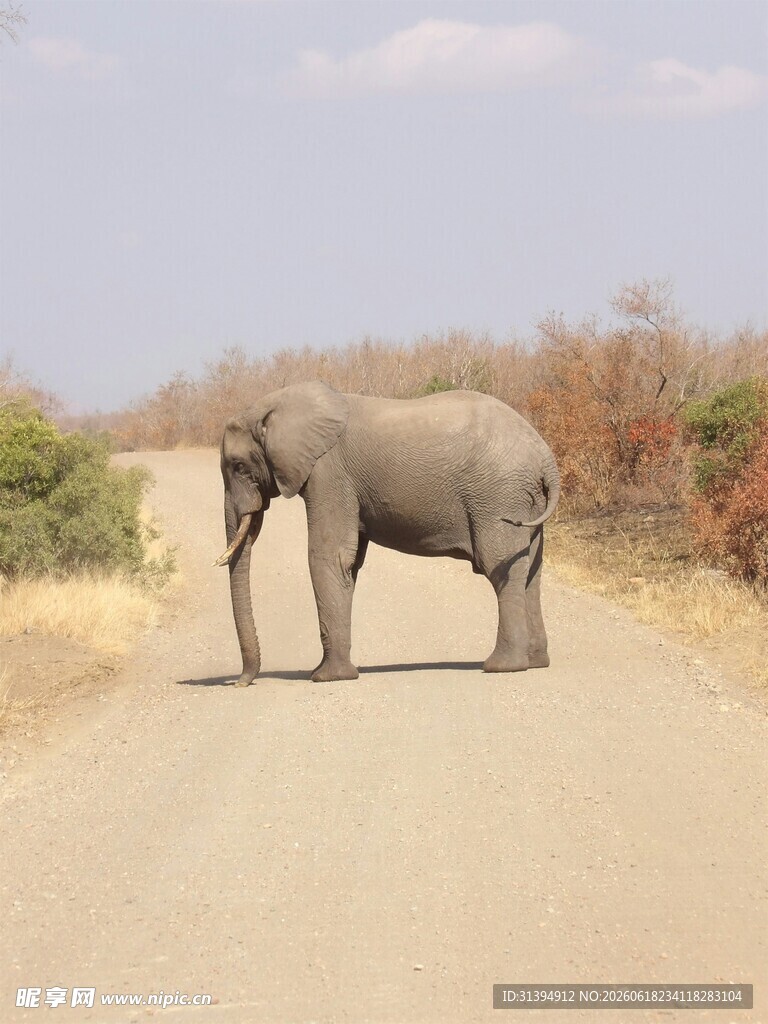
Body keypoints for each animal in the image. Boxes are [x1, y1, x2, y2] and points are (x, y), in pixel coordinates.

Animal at [215, 380, 560, 686]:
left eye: (238, 466)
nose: (240, 683)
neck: (274, 406)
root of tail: (546, 460)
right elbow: (349, 563)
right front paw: (327, 672)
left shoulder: (329, 473)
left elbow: (328, 557)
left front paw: (326, 678)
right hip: (525, 501)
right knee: (532, 574)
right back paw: (535, 662)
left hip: (499, 496)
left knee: (501, 570)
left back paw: (502, 666)